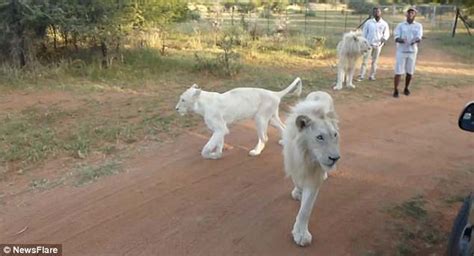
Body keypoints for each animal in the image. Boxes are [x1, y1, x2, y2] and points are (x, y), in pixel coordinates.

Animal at [282, 91, 340, 247]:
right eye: (319, 137)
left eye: (334, 135)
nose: (335, 158)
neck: (306, 155)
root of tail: (321, 92)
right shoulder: (294, 163)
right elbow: (296, 180)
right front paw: (298, 192)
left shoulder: (313, 178)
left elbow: (305, 209)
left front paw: (301, 234)